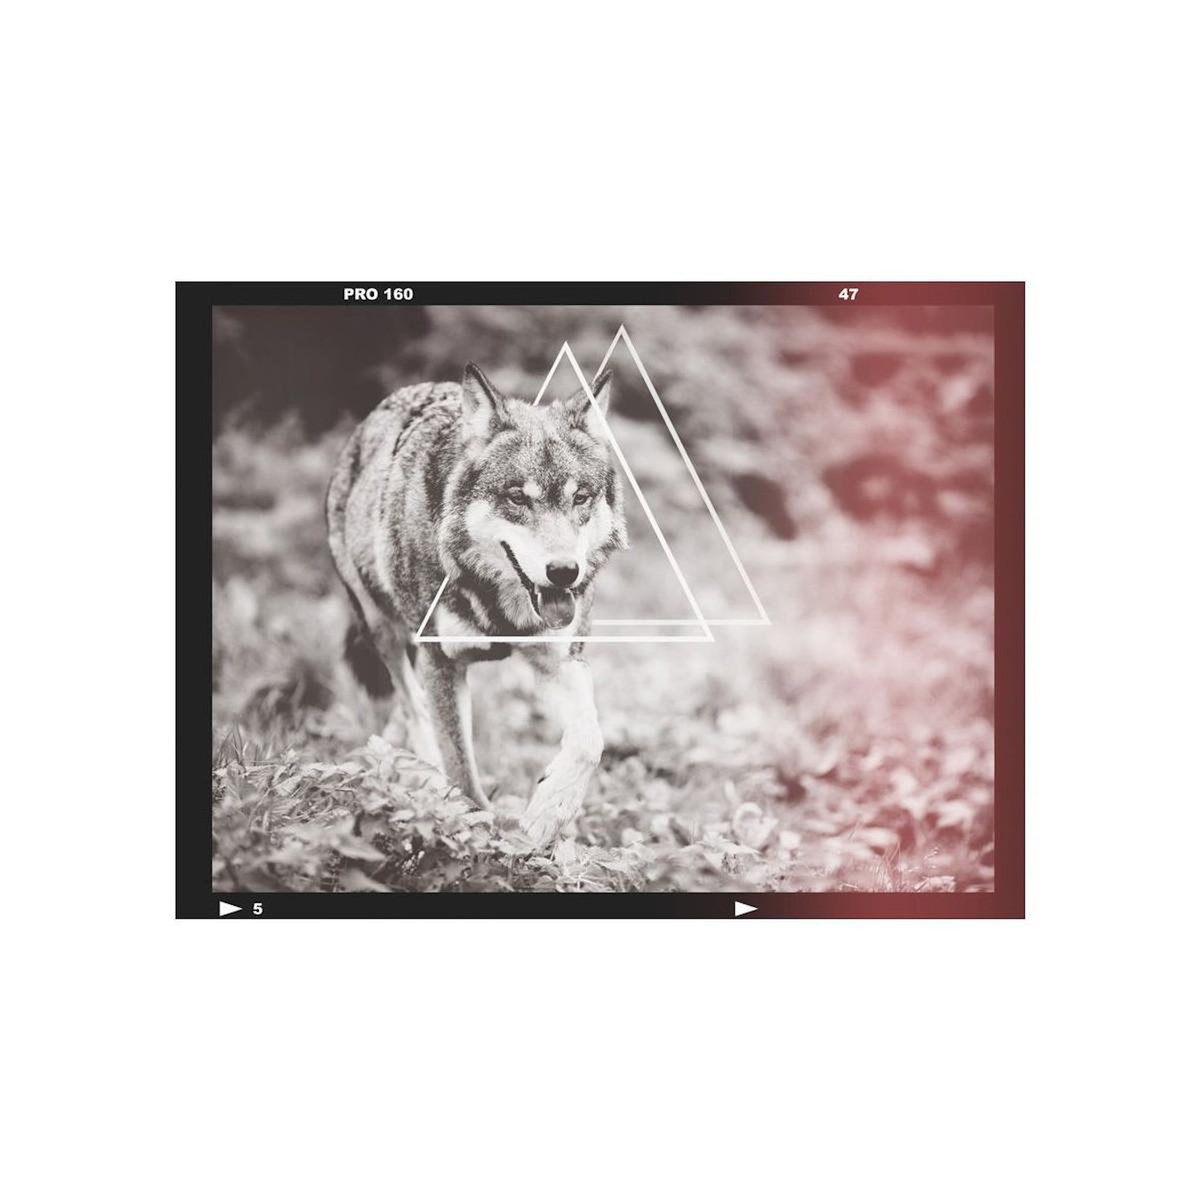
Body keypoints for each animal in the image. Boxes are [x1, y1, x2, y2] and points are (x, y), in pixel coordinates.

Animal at [325, 362, 627, 844]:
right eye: (517, 497)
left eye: (580, 497)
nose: (565, 571)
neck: (498, 604)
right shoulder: (441, 662)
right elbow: (461, 769)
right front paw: (473, 833)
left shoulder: (558, 660)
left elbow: (589, 740)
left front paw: (549, 812)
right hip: (381, 628)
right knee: (413, 705)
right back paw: (424, 774)